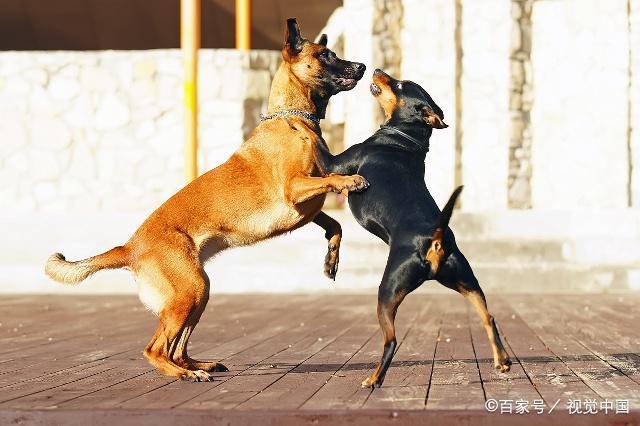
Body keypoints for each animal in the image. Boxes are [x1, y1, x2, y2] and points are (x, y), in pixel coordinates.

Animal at [45, 18, 368, 382]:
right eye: (325, 55)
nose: (362, 66)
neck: (293, 119)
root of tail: (129, 247)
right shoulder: (295, 188)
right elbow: (331, 182)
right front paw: (350, 180)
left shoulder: (309, 207)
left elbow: (335, 224)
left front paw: (331, 259)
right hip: (191, 289)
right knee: (155, 349)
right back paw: (185, 374)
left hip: (199, 291)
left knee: (177, 349)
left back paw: (198, 365)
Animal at [322, 69, 512, 386]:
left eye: (400, 85)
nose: (377, 71)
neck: (406, 137)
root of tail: (435, 240)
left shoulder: (334, 164)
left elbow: (314, 139)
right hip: (467, 282)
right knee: (489, 317)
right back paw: (502, 361)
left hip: (387, 293)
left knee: (391, 341)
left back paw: (374, 379)